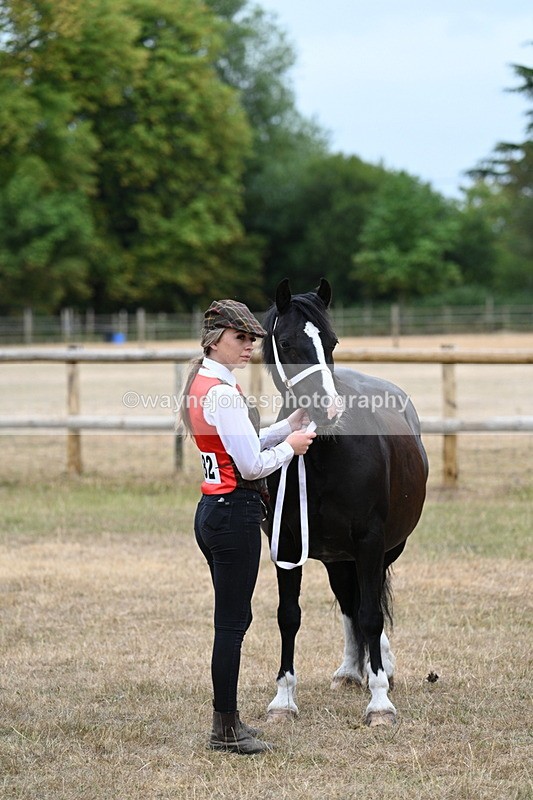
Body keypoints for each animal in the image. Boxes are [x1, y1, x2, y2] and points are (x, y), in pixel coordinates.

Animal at [261, 278, 429, 726]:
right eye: (286, 342)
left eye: (332, 341)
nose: (329, 408)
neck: (326, 454)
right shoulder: (288, 546)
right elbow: (289, 616)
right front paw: (283, 700)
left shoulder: (370, 542)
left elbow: (372, 614)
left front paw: (380, 703)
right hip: (338, 558)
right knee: (349, 603)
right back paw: (351, 670)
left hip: (381, 551)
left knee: (369, 605)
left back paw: (380, 667)